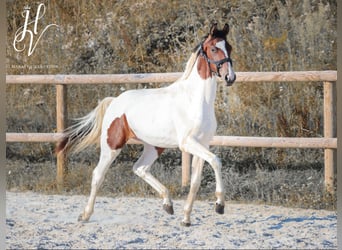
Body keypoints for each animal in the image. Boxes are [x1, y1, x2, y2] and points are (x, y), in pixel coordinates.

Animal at [57, 23, 236, 227]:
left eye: (229, 48)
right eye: (214, 48)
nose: (230, 77)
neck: (196, 100)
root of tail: (114, 100)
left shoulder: (203, 144)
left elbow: (196, 180)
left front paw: (186, 218)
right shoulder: (187, 143)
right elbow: (216, 161)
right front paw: (219, 205)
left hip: (154, 147)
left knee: (139, 168)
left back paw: (168, 204)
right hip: (112, 145)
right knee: (98, 174)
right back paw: (85, 215)